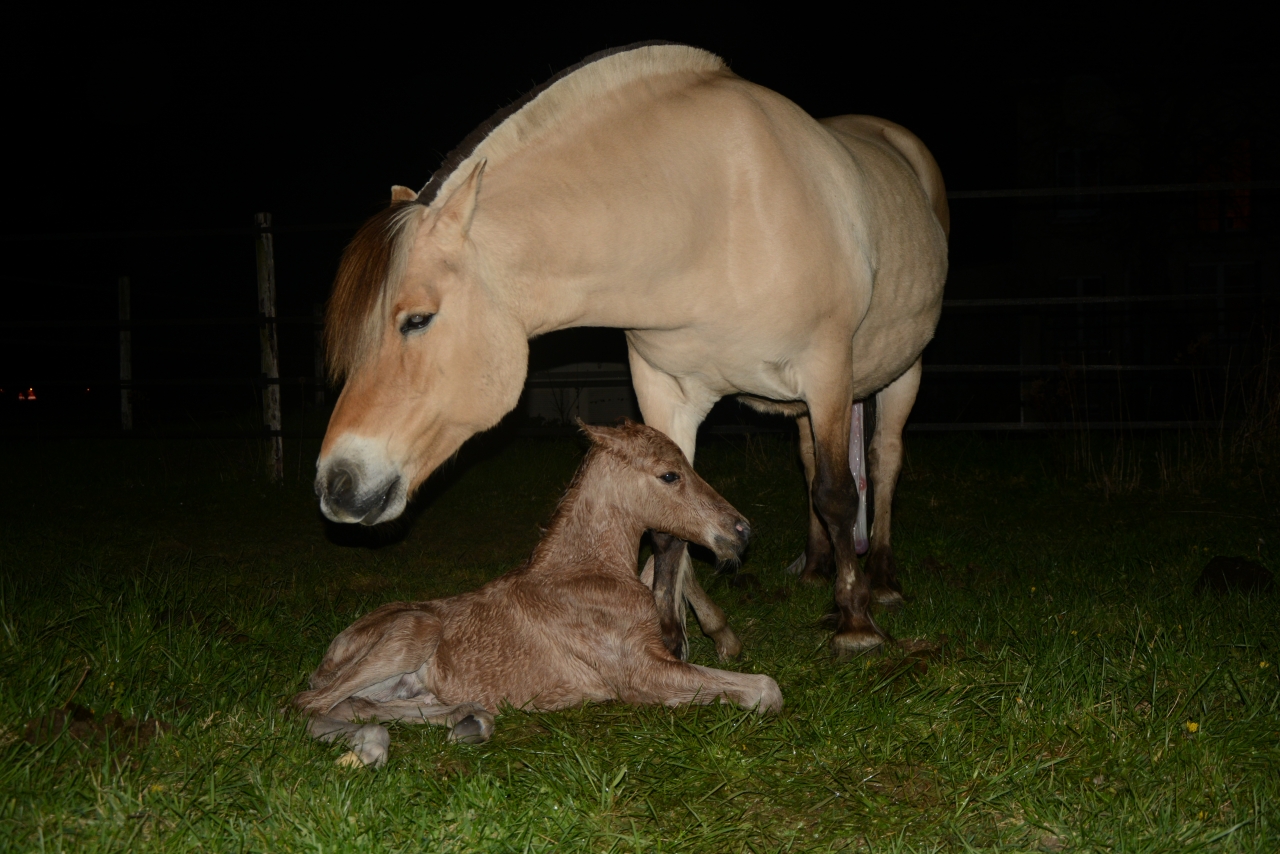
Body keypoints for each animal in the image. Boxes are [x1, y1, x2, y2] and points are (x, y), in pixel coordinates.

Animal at [295, 420, 783, 767]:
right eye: (669, 475)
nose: (741, 531)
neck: (586, 574)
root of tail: (328, 656)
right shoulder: (640, 674)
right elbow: (764, 690)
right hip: (417, 627)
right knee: (306, 706)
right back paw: (373, 748)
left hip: (405, 683)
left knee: (356, 704)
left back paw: (467, 721)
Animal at [315, 43, 949, 657]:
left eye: (417, 320)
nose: (335, 485)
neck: (715, 218)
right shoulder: (665, 389)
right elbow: (668, 516)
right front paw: (670, 638)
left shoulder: (827, 370)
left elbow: (839, 495)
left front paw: (855, 625)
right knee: (810, 456)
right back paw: (816, 567)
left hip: (900, 370)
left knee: (883, 460)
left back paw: (882, 581)